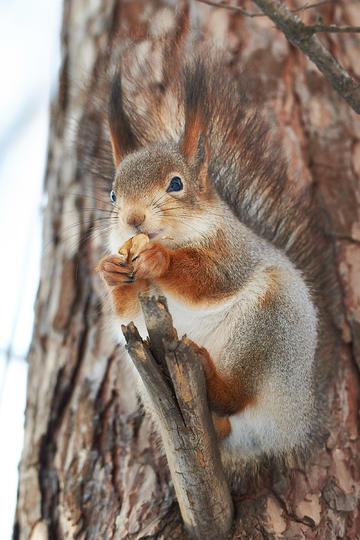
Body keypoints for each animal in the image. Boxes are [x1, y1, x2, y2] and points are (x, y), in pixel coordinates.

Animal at [95, 49, 334, 472]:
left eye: (176, 183)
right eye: (112, 195)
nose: (133, 220)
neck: (181, 237)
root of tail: (299, 420)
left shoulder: (232, 251)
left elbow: (212, 280)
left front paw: (160, 259)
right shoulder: (130, 315)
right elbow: (125, 310)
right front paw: (110, 271)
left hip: (267, 326)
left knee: (237, 393)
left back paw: (214, 379)